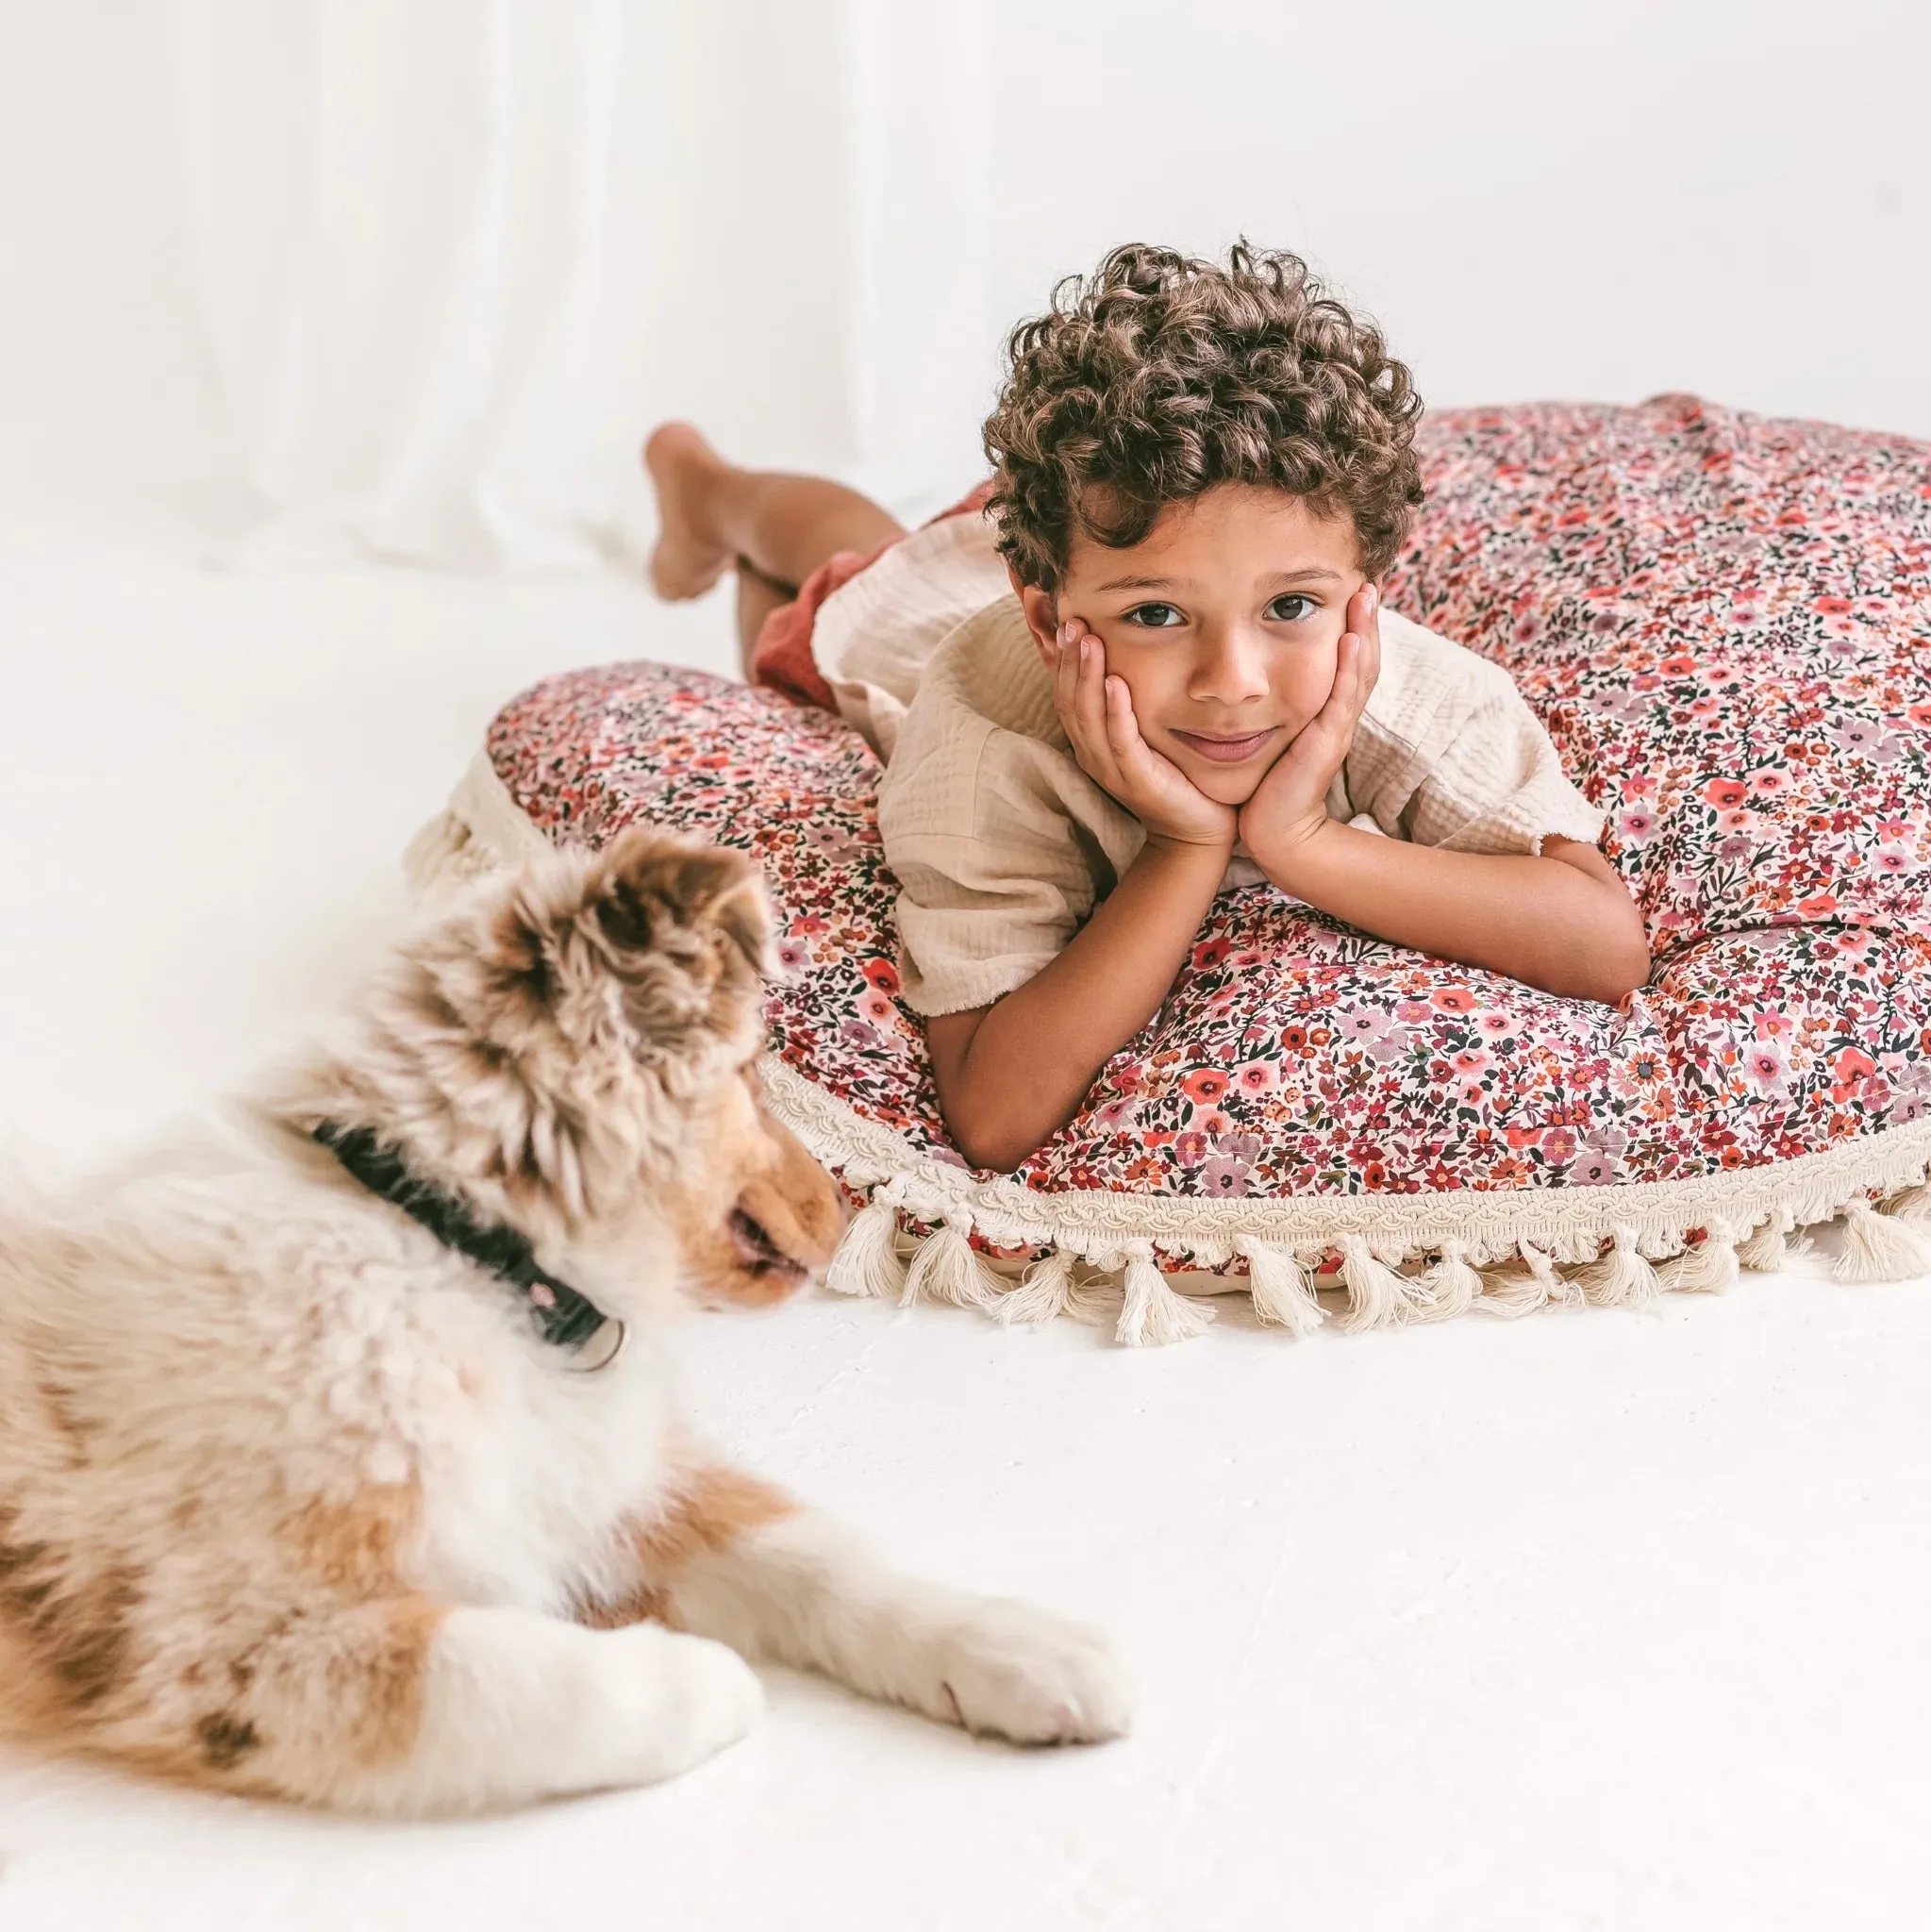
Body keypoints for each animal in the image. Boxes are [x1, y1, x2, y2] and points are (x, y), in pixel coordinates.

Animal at [0, 830, 1127, 1807]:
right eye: (748, 1071)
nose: (843, 1211)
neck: (459, 1248)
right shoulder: (233, 1642)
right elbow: (514, 1680)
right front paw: (706, 1676)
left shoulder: (618, 1479)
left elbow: (824, 1557)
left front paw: (1027, 1649)